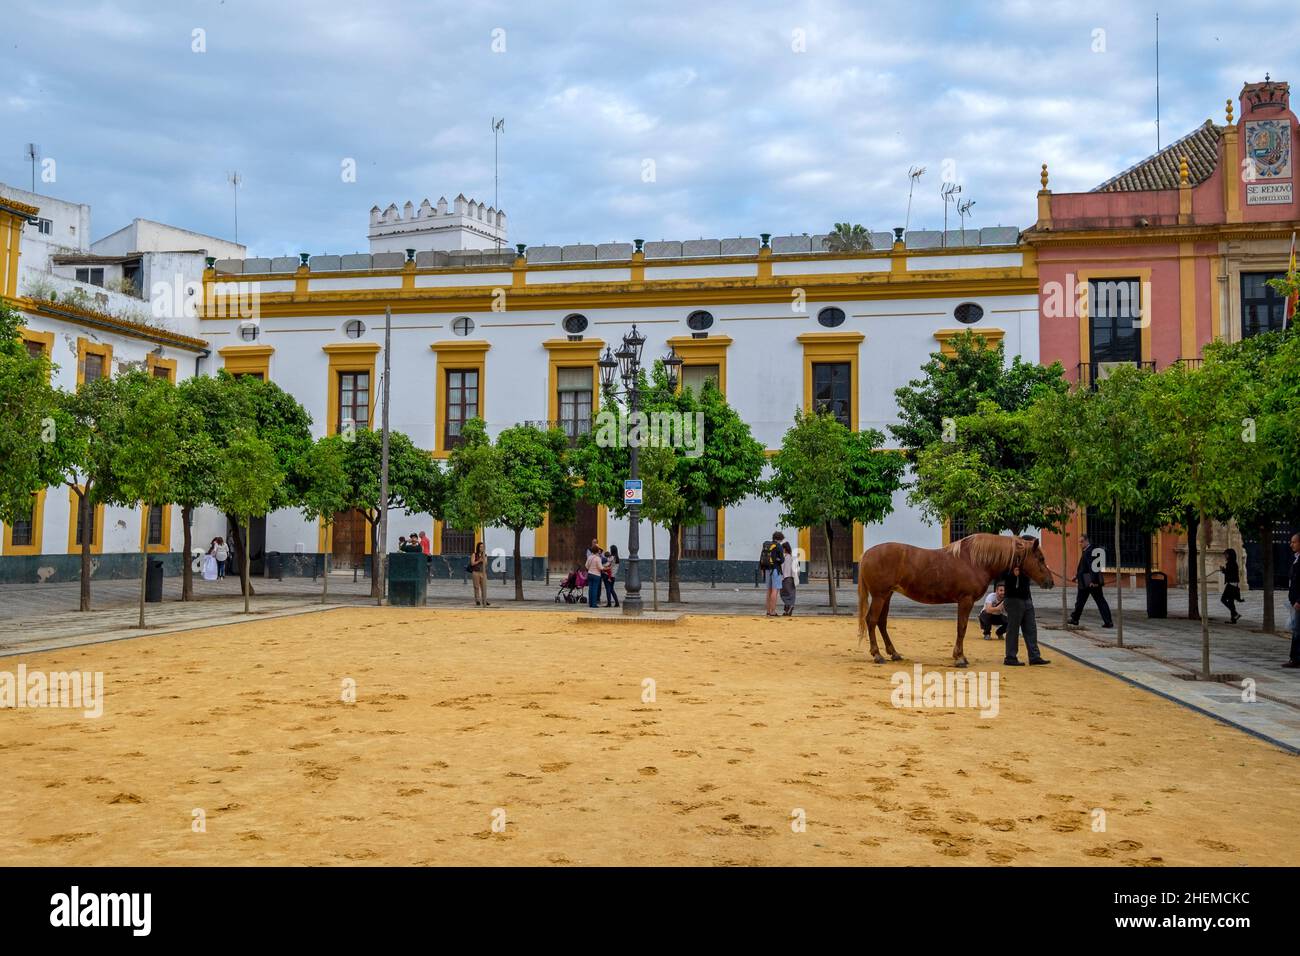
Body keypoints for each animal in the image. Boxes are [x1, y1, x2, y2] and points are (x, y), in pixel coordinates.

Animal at [852, 535, 1055, 671]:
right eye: (1041, 558)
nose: (1050, 582)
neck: (974, 561)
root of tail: (867, 554)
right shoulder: (965, 600)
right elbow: (962, 627)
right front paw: (960, 658)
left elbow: (961, 627)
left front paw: (959, 656)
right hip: (880, 596)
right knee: (871, 621)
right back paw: (877, 655)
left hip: (887, 595)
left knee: (881, 622)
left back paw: (893, 653)